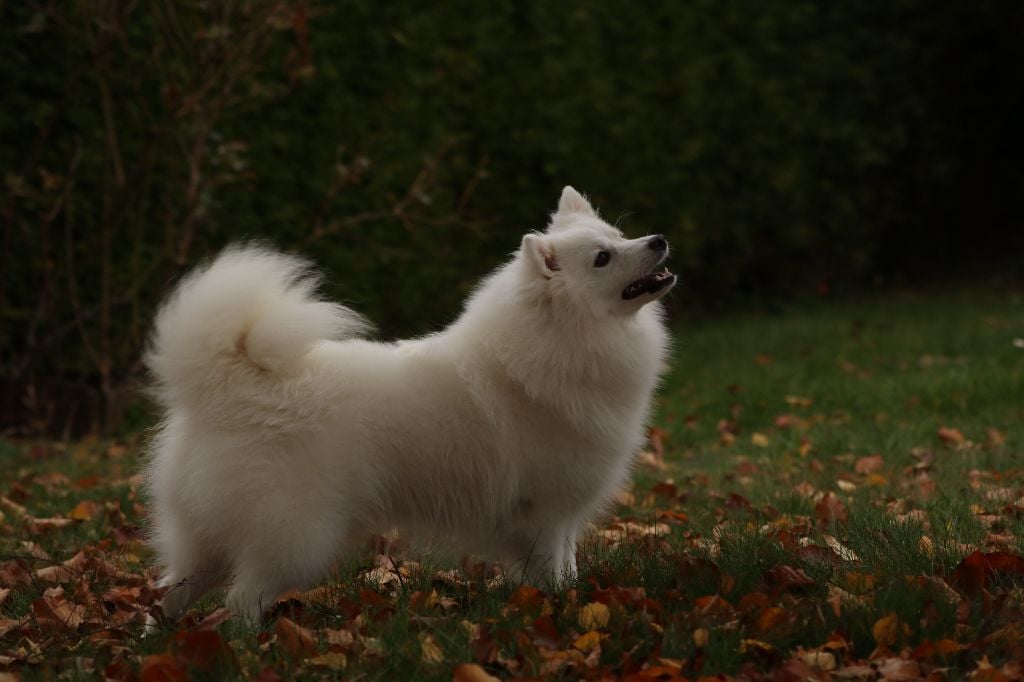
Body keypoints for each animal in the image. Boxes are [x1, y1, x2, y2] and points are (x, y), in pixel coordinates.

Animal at [144, 186, 675, 623]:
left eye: (619, 234)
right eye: (603, 258)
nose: (659, 239)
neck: (562, 342)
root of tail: (227, 387)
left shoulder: (561, 518)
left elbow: (568, 567)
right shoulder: (542, 513)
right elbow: (551, 575)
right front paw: (560, 612)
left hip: (208, 539)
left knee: (167, 593)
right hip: (297, 536)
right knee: (240, 602)